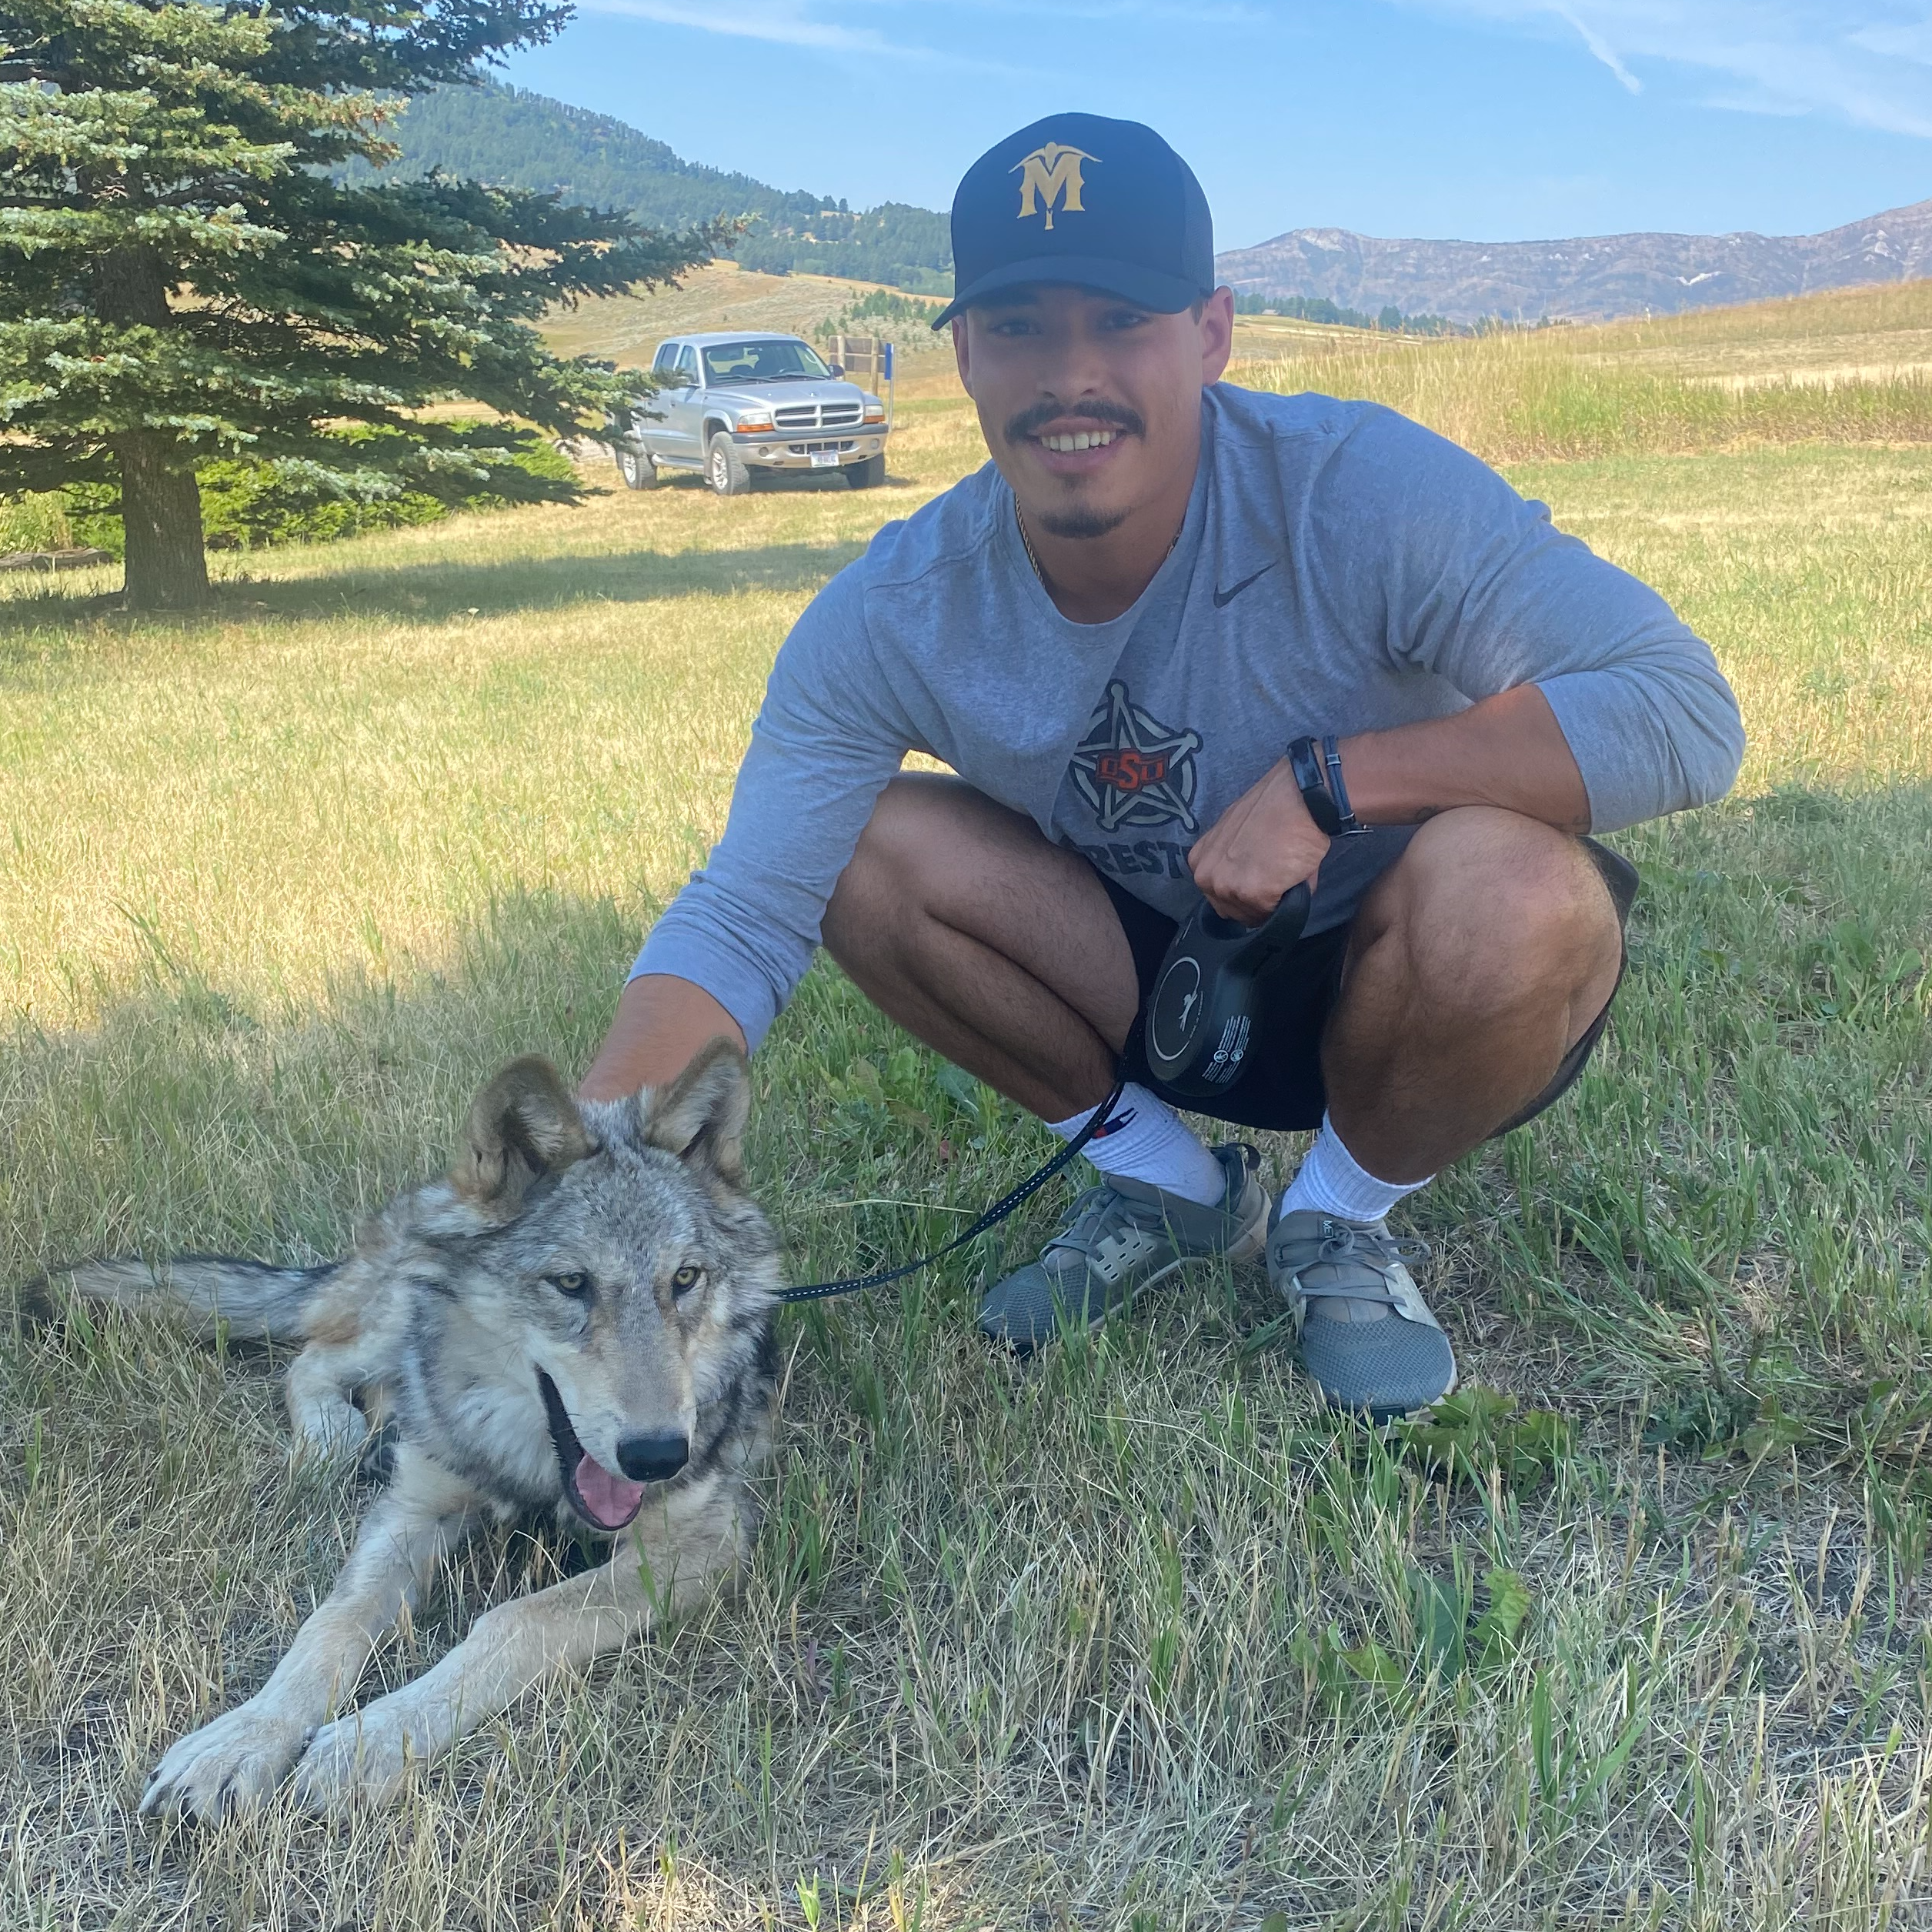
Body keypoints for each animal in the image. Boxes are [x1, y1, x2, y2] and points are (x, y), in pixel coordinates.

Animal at [39, 1043, 776, 1808]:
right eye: (571, 1283)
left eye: (685, 1279)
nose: (659, 1455)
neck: (534, 1469)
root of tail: (427, 1195)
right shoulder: (413, 1509)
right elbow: (330, 1624)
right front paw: (243, 1737)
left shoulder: (701, 1544)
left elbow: (514, 1617)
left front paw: (370, 1741)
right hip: (397, 1312)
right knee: (312, 1356)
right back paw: (333, 1436)